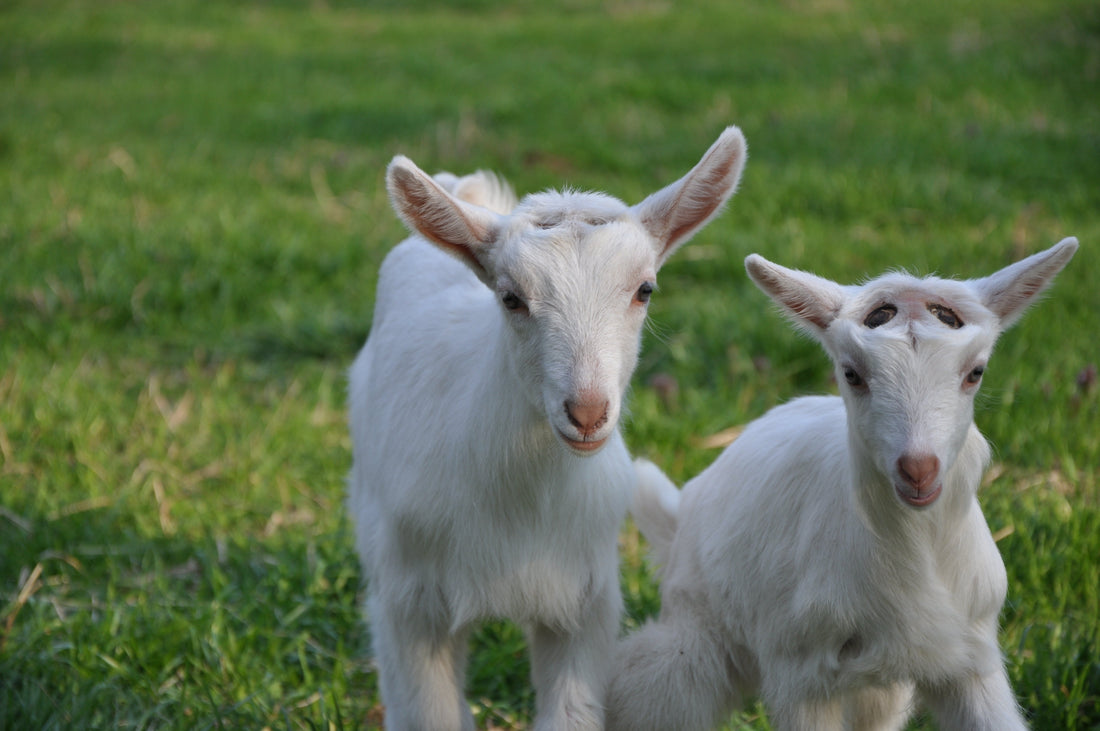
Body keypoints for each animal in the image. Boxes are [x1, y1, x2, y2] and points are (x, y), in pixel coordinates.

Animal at [348, 127, 747, 731]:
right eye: (511, 297)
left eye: (645, 289)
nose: (586, 411)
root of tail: (465, 191)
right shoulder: (409, 605)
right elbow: (430, 713)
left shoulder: (584, 603)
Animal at [607, 237, 1078, 731]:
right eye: (851, 373)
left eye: (976, 372)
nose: (918, 470)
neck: (915, 551)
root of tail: (680, 514)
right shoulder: (802, 672)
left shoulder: (967, 655)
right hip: (698, 623)